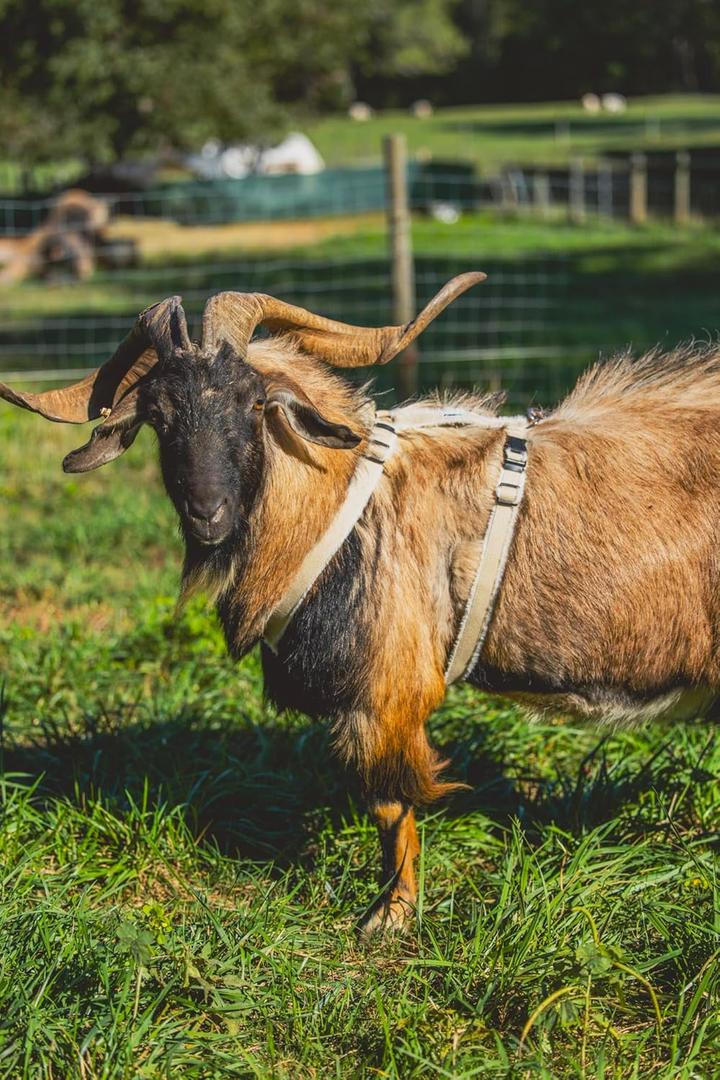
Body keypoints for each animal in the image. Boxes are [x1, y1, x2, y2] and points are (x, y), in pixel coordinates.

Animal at [3, 278, 719, 937]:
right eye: (158, 413)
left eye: (253, 401)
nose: (208, 512)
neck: (338, 503)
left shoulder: (387, 689)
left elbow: (390, 806)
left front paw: (390, 915)